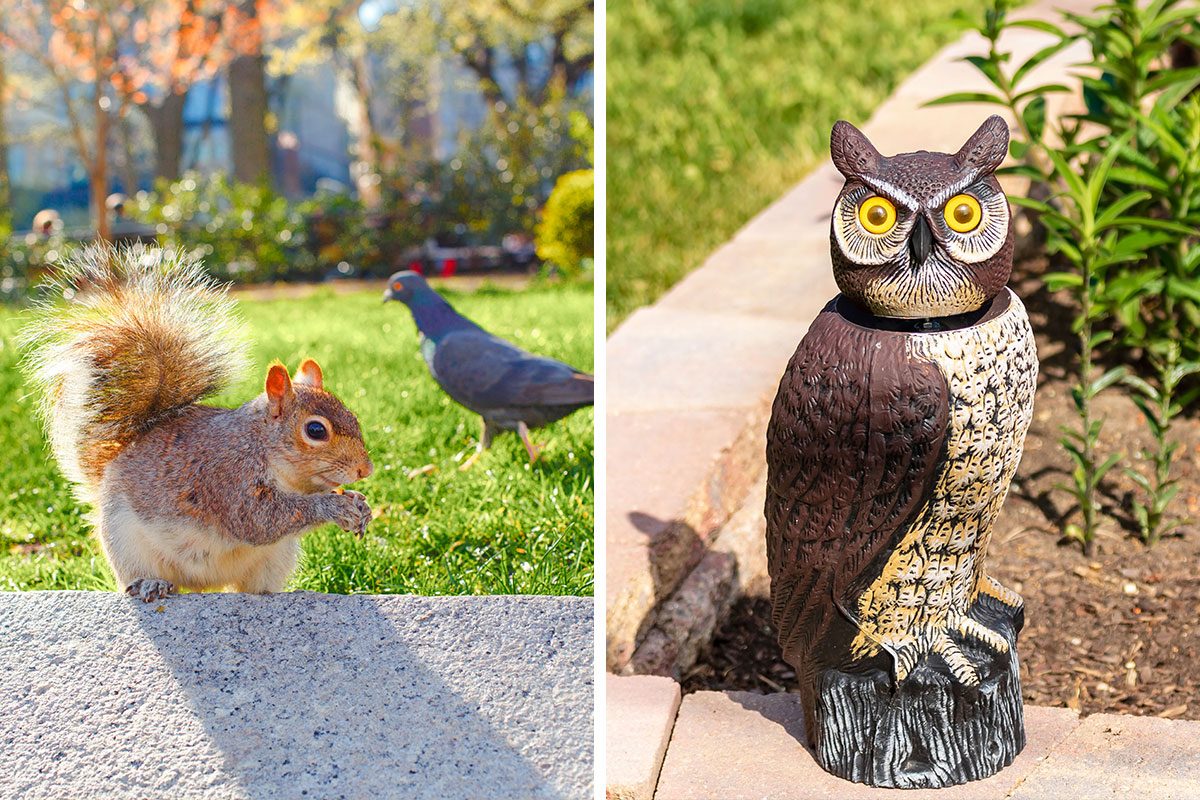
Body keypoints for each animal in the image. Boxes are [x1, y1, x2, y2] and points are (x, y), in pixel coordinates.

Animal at [21, 243, 375, 602]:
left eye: (353, 416)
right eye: (315, 430)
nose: (365, 469)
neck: (262, 446)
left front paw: (360, 504)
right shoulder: (226, 478)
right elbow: (260, 520)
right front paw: (333, 507)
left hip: (276, 558)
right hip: (125, 542)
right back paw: (151, 583)